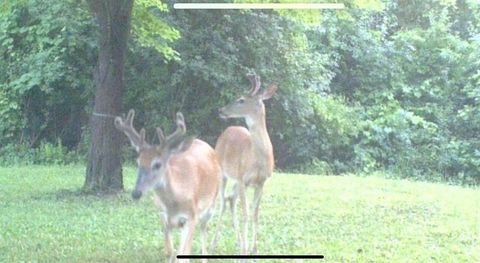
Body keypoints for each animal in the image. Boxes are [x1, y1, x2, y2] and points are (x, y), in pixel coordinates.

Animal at [115, 109, 222, 262]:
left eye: (157, 164)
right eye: (138, 162)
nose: (136, 193)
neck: (175, 202)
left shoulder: (192, 216)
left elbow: (183, 253)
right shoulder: (164, 216)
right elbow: (169, 251)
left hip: (210, 206)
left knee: (204, 232)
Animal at [213, 73, 278, 255]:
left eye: (241, 100)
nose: (221, 110)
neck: (258, 159)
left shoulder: (261, 182)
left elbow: (255, 214)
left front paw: (254, 249)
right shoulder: (243, 179)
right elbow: (246, 214)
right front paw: (245, 250)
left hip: (236, 180)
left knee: (230, 200)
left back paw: (237, 241)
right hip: (223, 173)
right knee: (222, 202)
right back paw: (215, 243)